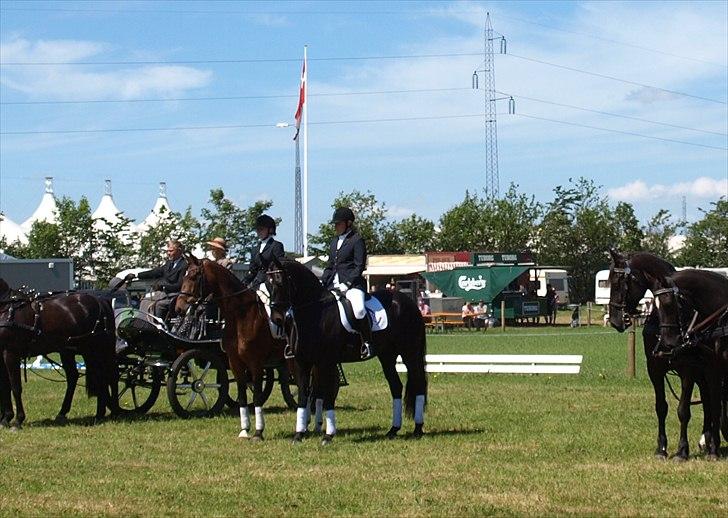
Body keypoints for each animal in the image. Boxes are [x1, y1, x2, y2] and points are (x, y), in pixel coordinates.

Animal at [0, 280, 119, 430]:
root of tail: (101, 301)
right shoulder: (2, 355)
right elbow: (5, 387)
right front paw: (6, 419)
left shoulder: (11, 353)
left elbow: (15, 387)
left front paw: (17, 420)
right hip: (74, 351)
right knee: (84, 377)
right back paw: (83, 414)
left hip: (99, 349)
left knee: (110, 375)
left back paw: (110, 412)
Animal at [176, 254, 288, 440]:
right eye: (184, 276)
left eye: (194, 276)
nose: (179, 307)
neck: (241, 314)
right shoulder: (235, 362)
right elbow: (242, 395)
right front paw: (244, 431)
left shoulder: (256, 363)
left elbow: (257, 396)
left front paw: (258, 432)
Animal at [266, 258, 426, 446]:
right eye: (267, 284)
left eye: (280, 281)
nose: (277, 318)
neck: (315, 312)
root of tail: (408, 301)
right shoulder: (301, 362)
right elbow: (303, 397)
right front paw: (299, 434)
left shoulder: (326, 362)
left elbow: (327, 397)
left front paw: (328, 436)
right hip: (387, 356)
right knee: (396, 386)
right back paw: (393, 430)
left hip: (410, 353)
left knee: (418, 384)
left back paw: (417, 429)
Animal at [604, 250, 712, 462]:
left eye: (619, 281)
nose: (614, 321)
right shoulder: (655, 368)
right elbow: (661, 407)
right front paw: (661, 448)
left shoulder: (688, 370)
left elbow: (683, 410)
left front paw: (682, 451)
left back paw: (707, 441)